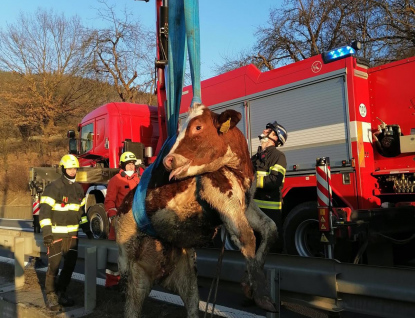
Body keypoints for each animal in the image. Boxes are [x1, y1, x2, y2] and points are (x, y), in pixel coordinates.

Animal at [115, 103, 278, 316]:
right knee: (132, 305)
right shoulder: (222, 197)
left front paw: (248, 285)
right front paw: (262, 296)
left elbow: (269, 228)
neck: (239, 170)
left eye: (198, 127)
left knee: (191, 302)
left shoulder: (246, 204)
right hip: (131, 271)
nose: (168, 160)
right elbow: (247, 237)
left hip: (187, 274)